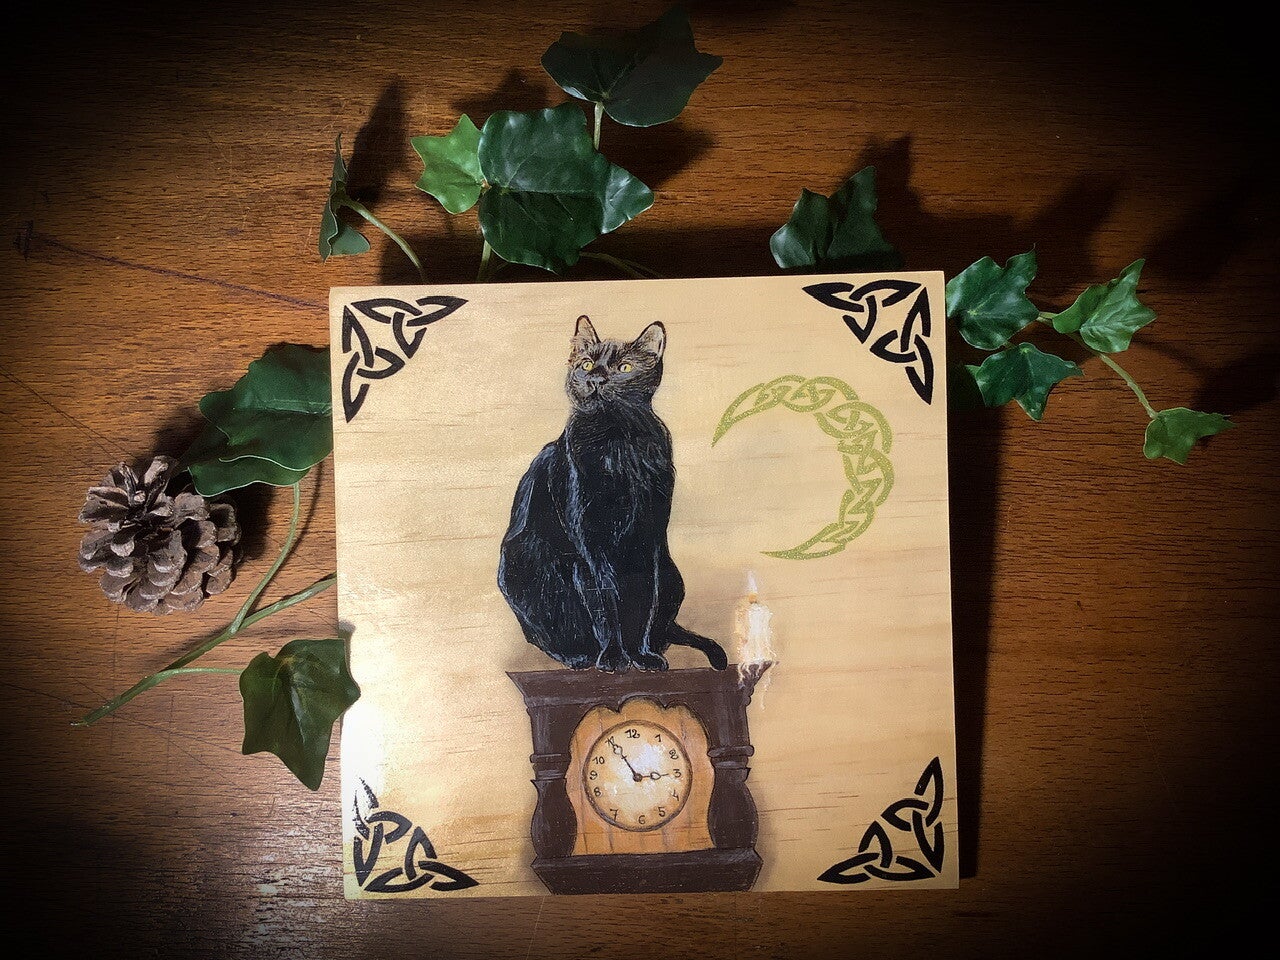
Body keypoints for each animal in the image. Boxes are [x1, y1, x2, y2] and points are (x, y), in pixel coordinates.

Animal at [498, 315, 728, 673]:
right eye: (586, 364)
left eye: (624, 367)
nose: (596, 379)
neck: (617, 443)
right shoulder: (589, 547)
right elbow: (605, 605)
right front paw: (614, 658)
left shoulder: (647, 541)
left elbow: (643, 602)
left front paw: (641, 656)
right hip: (522, 568)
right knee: (548, 635)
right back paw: (580, 658)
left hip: (671, 573)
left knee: (661, 624)